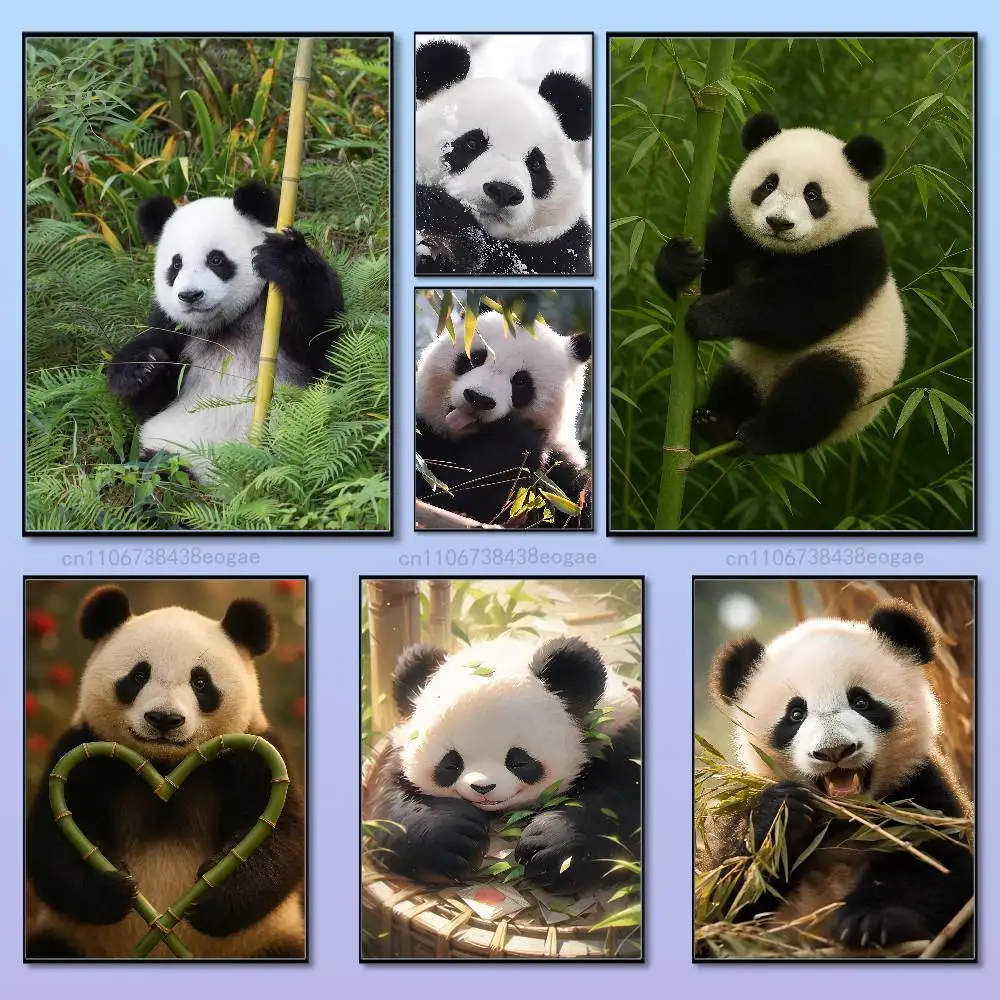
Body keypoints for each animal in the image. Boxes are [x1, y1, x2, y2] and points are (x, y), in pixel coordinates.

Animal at [26, 587, 305, 959]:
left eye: (200, 681)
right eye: (138, 676)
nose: (164, 719)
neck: (165, 763)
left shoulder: (255, 757)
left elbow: (283, 839)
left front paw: (212, 897)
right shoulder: (81, 751)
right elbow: (51, 840)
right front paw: (114, 889)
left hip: (266, 939)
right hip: (72, 938)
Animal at [106, 181, 343, 476]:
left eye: (216, 260)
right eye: (176, 264)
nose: (190, 296)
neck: (224, 324)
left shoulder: (271, 308)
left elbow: (322, 341)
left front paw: (283, 256)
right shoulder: (174, 329)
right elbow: (150, 403)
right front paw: (144, 365)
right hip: (166, 450)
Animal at [366, 636, 641, 893]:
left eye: (519, 761)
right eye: (450, 764)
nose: (483, 788)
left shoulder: (614, 737)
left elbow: (623, 802)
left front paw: (550, 848)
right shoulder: (398, 752)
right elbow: (390, 807)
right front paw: (454, 840)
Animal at [655, 111, 907, 455]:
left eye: (812, 195)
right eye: (769, 184)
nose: (778, 223)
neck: (781, 252)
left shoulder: (856, 253)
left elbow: (802, 307)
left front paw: (709, 316)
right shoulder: (740, 235)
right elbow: (709, 277)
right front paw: (679, 262)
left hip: (859, 363)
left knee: (817, 392)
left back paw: (763, 433)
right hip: (748, 362)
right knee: (734, 382)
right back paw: (717, 422)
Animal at [703, 599, 972, 951]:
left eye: (861, 701)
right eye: (795, 714)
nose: (834, 751)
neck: (846, 822)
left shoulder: (922, 796)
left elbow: (938, 863)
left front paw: (869, 921)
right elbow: (725, 896)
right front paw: (780, 813)